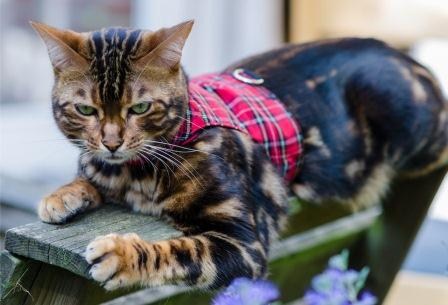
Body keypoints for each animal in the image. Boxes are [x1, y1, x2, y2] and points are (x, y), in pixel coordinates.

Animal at [29, 19, 446, 290]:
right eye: (86, 110)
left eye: (140, 108)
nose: (112, 142)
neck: (133, 174)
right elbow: (88, 173)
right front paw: (62, 195)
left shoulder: (245, 243)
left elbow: (183, 252)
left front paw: (122, 254)